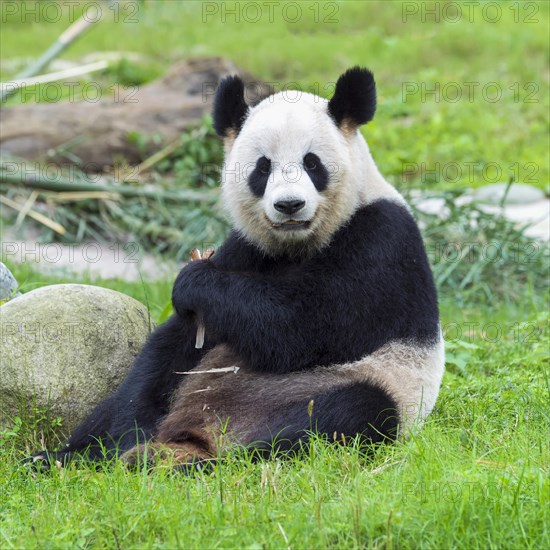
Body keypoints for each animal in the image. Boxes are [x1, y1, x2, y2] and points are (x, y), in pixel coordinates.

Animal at [29, 67, 444, 472]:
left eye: (312, 163)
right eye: (263, 168)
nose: (289, 205)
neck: (298, 244)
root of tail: (196, 432)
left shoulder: (381, 240)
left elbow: (308, 324)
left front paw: (195, 279)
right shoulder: (246, 248)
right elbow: (171, 346)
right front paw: (122, 436)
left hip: (359, 386)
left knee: (346, 413)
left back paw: (212, 464)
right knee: (111, 406)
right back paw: (65, 458)